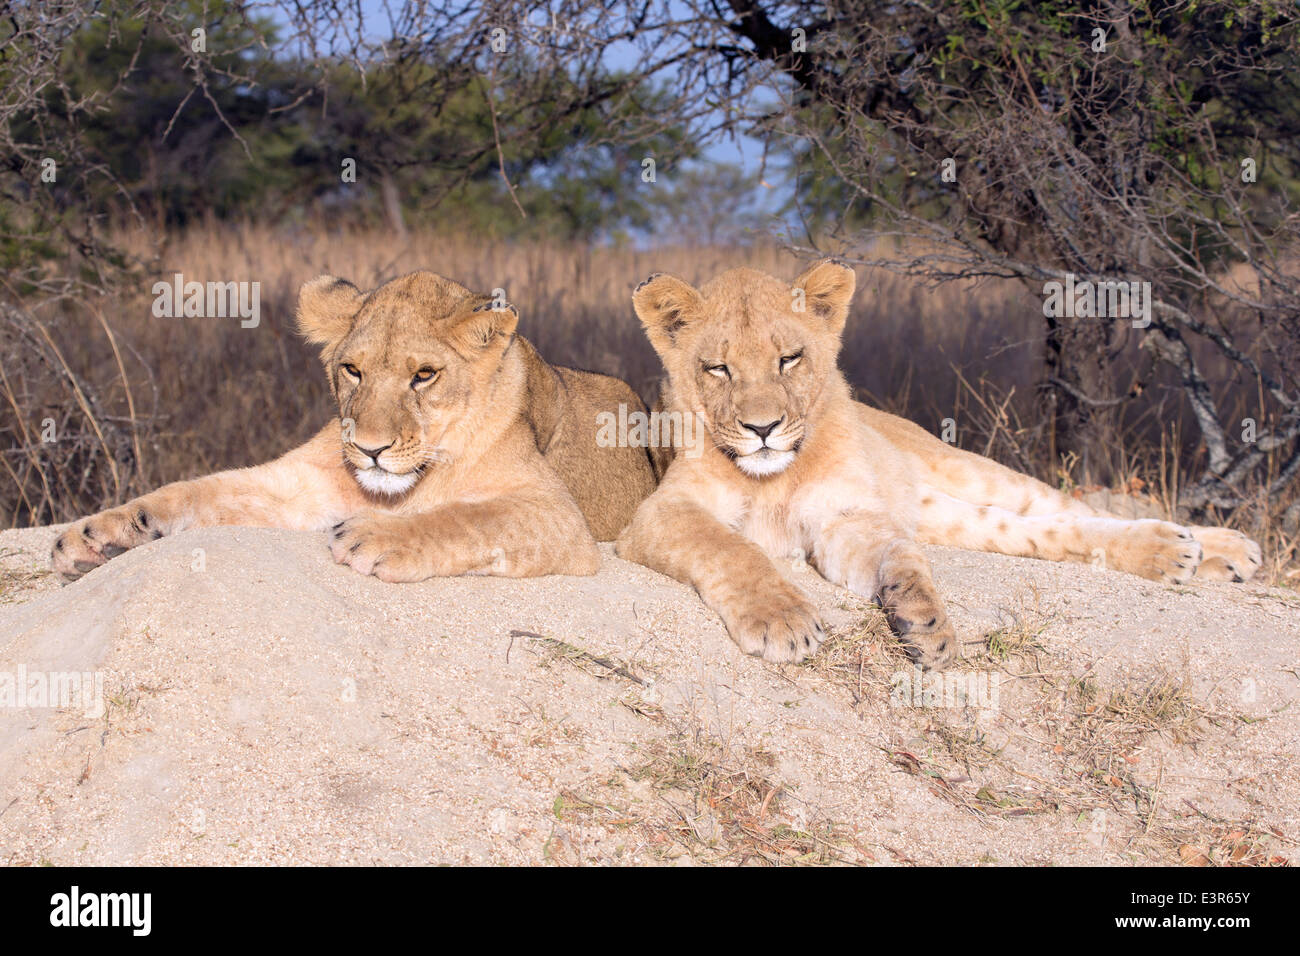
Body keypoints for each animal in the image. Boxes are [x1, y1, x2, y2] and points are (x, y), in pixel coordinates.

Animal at [51, 270, 657, 583]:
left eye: (424, 375)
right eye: (352, 370)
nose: (369, 450)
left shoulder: (560, 520)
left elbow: (468, 517)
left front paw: (376, 535)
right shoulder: (300, 484)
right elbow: (195, 491)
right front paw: (98, 535)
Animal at [616, 260, 1262, 670]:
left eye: (789, 359)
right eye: (718, 369)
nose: (762, 429)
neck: (777, 477)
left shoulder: (847, 519)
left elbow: (903, 560)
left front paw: (925, 619)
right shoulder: (658, 512)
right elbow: (730, 546)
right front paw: (784, 619)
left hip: (972, 469)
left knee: (1077, 510)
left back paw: (1207, 546)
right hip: (952, 516)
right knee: (1048, 532)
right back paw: (1189, 556)